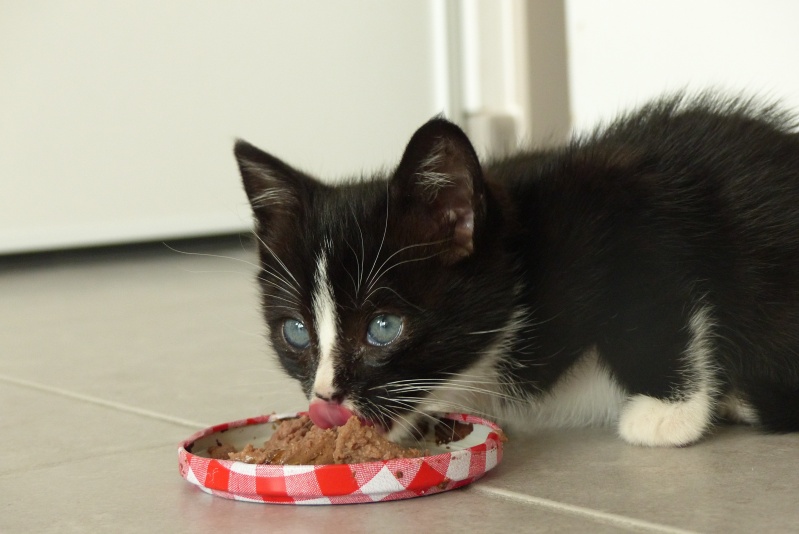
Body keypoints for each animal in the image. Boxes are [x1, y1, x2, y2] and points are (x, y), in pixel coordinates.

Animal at [234, 95, 799, 448]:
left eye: (383, 327)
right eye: (295, 332)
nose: (325, 398)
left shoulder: (629, 193)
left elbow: (646, 296)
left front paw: (669, 413)